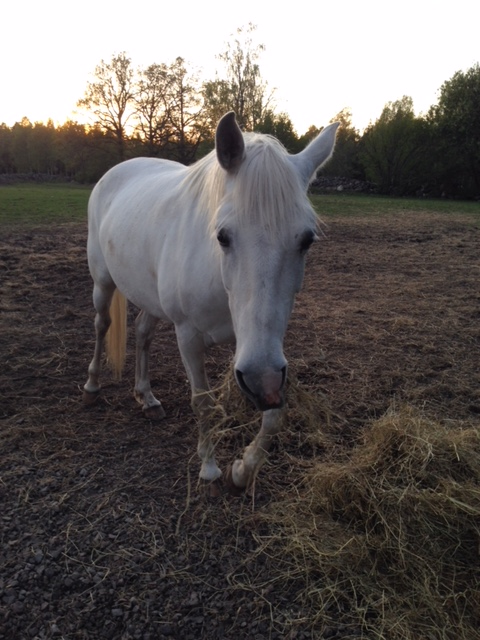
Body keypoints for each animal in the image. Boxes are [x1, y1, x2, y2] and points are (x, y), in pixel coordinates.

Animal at [83, 112, 338, 490]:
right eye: (222, 236)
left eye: (307, 240)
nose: (262, 382)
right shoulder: (189, 336)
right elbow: (202, 402)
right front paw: (210, 467)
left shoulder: (261, 348)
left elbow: (275, 414)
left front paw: (243, 469)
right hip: (103, 282)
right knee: (103, 324)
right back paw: (92, 386)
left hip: (149, 296)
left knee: (143, 333)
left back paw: (147, 397)